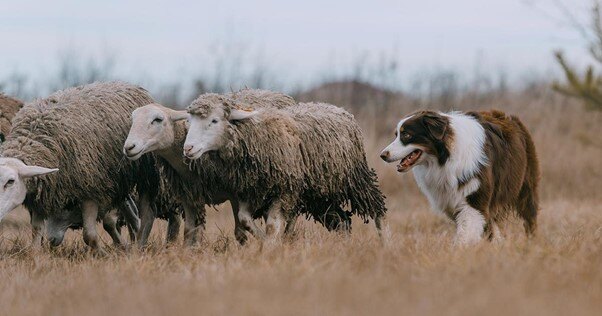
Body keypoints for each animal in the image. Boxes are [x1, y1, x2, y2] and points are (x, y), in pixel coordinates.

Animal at [0, 81, 163, 249]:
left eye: (10, 181)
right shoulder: (43, 191)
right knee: (129, 212)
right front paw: (36, 252)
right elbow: (37, 230)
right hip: (117, 182)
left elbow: (89, 235)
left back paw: (138, 243)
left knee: (144, 212)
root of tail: (126, 84)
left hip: (145, 175)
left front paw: (101, 252)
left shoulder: (90, 189)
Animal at [122, 89, 302, 244]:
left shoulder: (235, 193)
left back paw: (287, 237)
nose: (129, 147)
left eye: (157, 119)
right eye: (132, 120)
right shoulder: (189, 195)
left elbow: (240, 230)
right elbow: (189, 231)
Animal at [182, 95, 384, 239]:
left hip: (356, 180)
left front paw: (270, 248)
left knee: (377, 210)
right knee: (343, 221)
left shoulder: (284, 191)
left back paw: (383, 243)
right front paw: (265, 241)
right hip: (320, 194)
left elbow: (272, 226)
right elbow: (244, 219)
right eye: (190, 122)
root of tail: (339, 109)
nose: (187, 148)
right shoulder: (250, 191)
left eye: (214, 121)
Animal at [378, 110, 536, 246]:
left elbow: (466, 232)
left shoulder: (475, 199)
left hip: (526, 187)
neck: (444, 159)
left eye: (406, 135)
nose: (383, 155)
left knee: (529, 216)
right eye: (396, 134)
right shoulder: (450, 200)